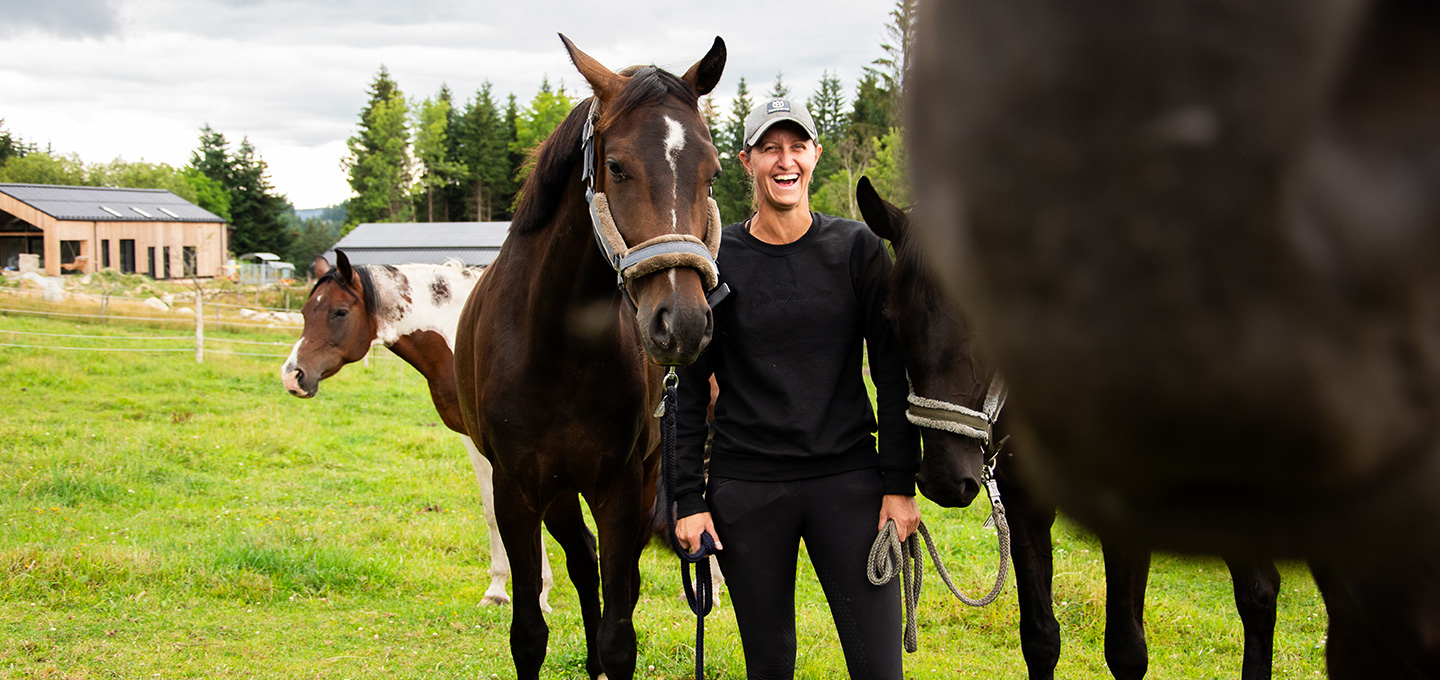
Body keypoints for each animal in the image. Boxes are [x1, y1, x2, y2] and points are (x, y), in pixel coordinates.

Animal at [280, 249, 555, 610]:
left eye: (339, 312)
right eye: (304, 311)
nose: (292, 376)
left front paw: (540, 594)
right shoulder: (476, 441)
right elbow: (492, 510)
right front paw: (497, 590)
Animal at [455, 37, 725, 680]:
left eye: (712, 173)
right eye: (618, 166)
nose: (682, 322)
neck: (558, 348)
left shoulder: (620, 487)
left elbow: (619, 632)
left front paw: (606, 654)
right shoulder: (517, 488)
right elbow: (529, 634)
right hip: (556, 491)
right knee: (582, 560)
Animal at [852, 179, 1284, 680]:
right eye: (890, 319)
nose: (943, 479)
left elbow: (1126, 651)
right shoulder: (1023, 505)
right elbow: (1040, 640)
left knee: (1260, 594)